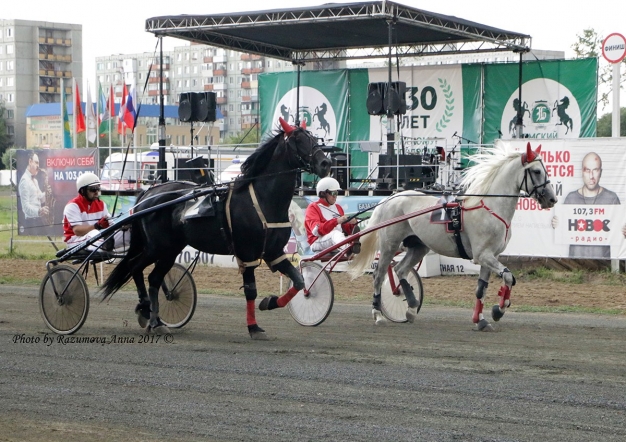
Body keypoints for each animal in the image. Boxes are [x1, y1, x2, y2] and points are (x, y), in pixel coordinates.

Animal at [98, 119, 332, 340]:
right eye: (298, 140)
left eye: (313, 138)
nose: (326, 163)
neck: (263, 200)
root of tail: (149, 194)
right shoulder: (248, 253)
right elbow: (251, 291)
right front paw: (254, 327)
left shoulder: (273, 252)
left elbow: (299, 281)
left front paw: (270, 301)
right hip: (158, 247)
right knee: (135, 267)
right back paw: (149, 314)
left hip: (170, 249)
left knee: (153, 278)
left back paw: (153, 318)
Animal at [348, 142, 560, 332]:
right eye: (536, 171)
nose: (552, 199)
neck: (489, 208)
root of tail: (389, 198)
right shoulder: (482, 255)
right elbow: (509, 277)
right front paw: (498, 311)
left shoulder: (491, 256)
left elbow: (482, 289)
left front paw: (481, 320)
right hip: (390, 245)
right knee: (379, 275)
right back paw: (378, 314)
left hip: (419, 246)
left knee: (400, 270)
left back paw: (411, 308)